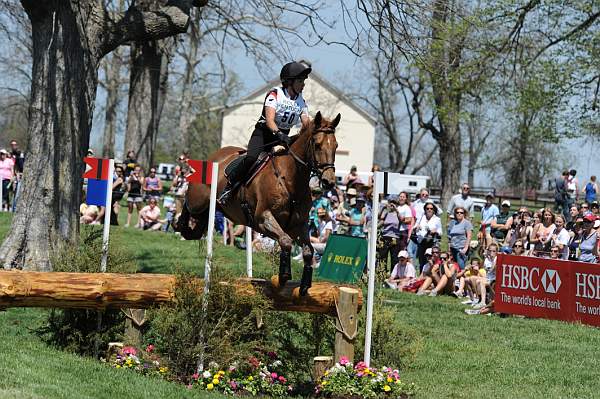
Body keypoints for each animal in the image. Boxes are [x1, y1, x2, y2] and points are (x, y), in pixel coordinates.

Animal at [176, 111, 340, 296]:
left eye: (336, 146)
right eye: (317, 145)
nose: (328, 182)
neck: (290, 180)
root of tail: (216, 155)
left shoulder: (298, 225)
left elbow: (307, 251)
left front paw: (304, 285)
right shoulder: (263, 219)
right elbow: (285, 241)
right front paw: (283, 277)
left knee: (197, 230)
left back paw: (188, 229)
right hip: (198, 201)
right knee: (187, 204)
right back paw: (180, 224)